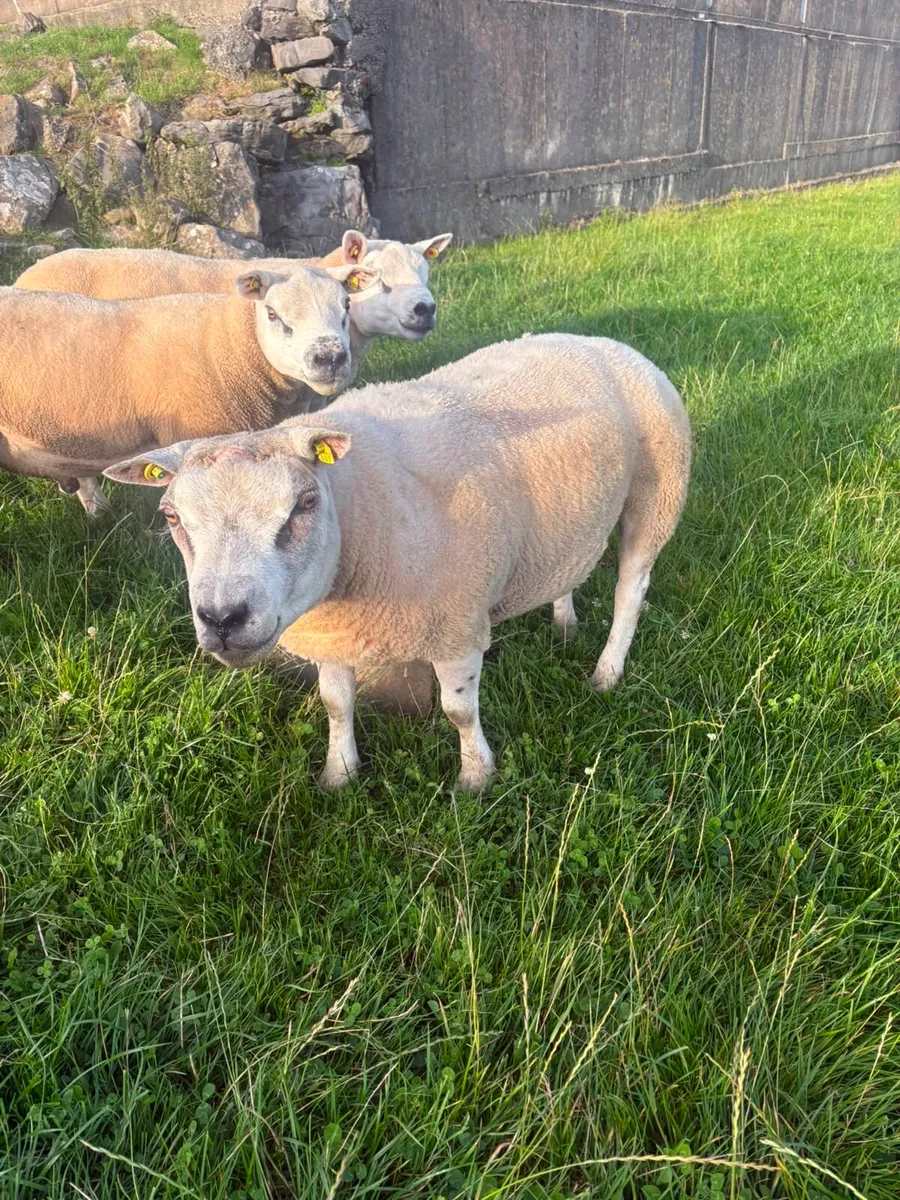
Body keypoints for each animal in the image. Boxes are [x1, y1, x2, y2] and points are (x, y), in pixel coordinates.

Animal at [105, 333, 691, 791]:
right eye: (171, 516)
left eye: (304, 504)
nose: (223, 618)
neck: (358, 506)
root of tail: (603, 342)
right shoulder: (333, 632)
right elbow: (335, 703)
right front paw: (339, 774)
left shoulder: (456, 623)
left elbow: (459, 710)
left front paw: (475, 777)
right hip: (565, 519)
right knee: (567, 569)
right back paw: (564, 620)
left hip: (658, 490)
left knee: (630, 590)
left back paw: (607, 672)